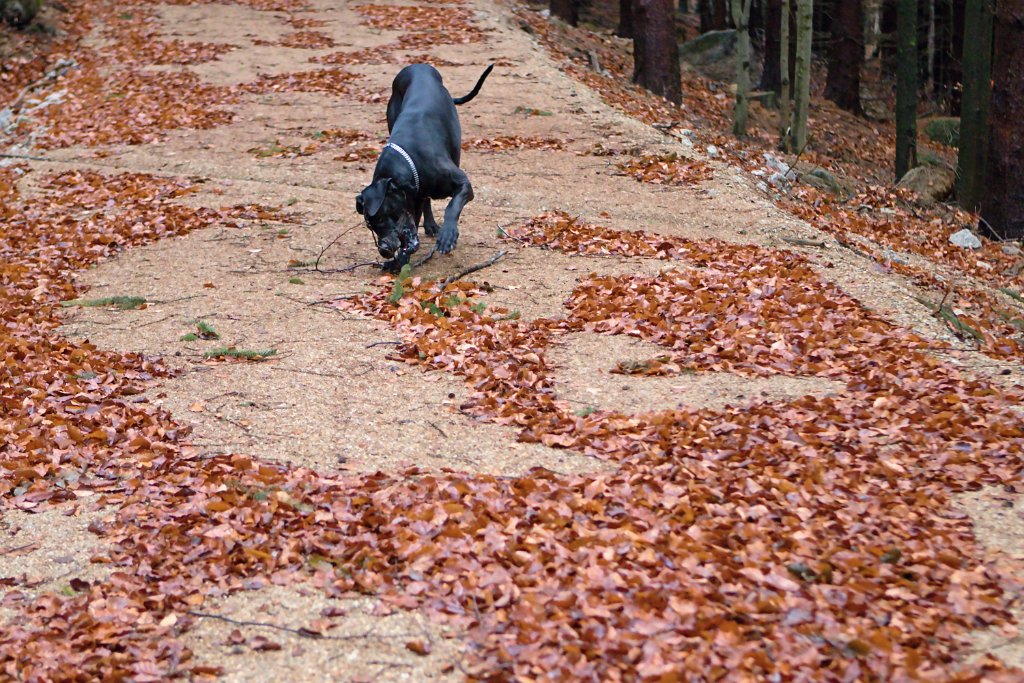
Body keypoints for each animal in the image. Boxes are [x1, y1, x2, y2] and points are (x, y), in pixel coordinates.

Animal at [356, 63, 491, 272]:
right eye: (370, 226)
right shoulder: (413, 201)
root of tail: (418, 66)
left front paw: (448, 234)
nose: (383, 250)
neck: (409, 162)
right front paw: (398, 261)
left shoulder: (463, 184)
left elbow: (452, 206)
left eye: (380, 218)